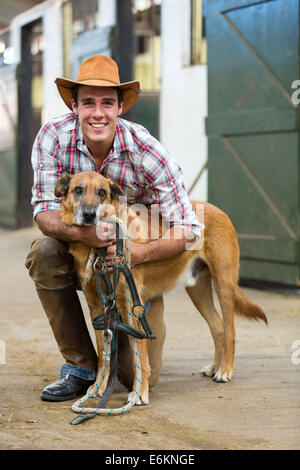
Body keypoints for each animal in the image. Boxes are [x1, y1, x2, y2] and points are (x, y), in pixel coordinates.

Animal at [54, 171, 268, 406]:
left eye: (102, 192)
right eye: (78, 190)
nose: (89, 214)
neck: (98, 248)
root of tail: (217, 209)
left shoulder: (131, 305)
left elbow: (139, 354)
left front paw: (139, 393)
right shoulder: (97, 308)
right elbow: (104, 353)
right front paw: (97, 387)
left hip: (224, 285)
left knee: (229, 330)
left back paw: (225, 370)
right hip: (197, 291)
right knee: (217, 326)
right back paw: (215, 367)